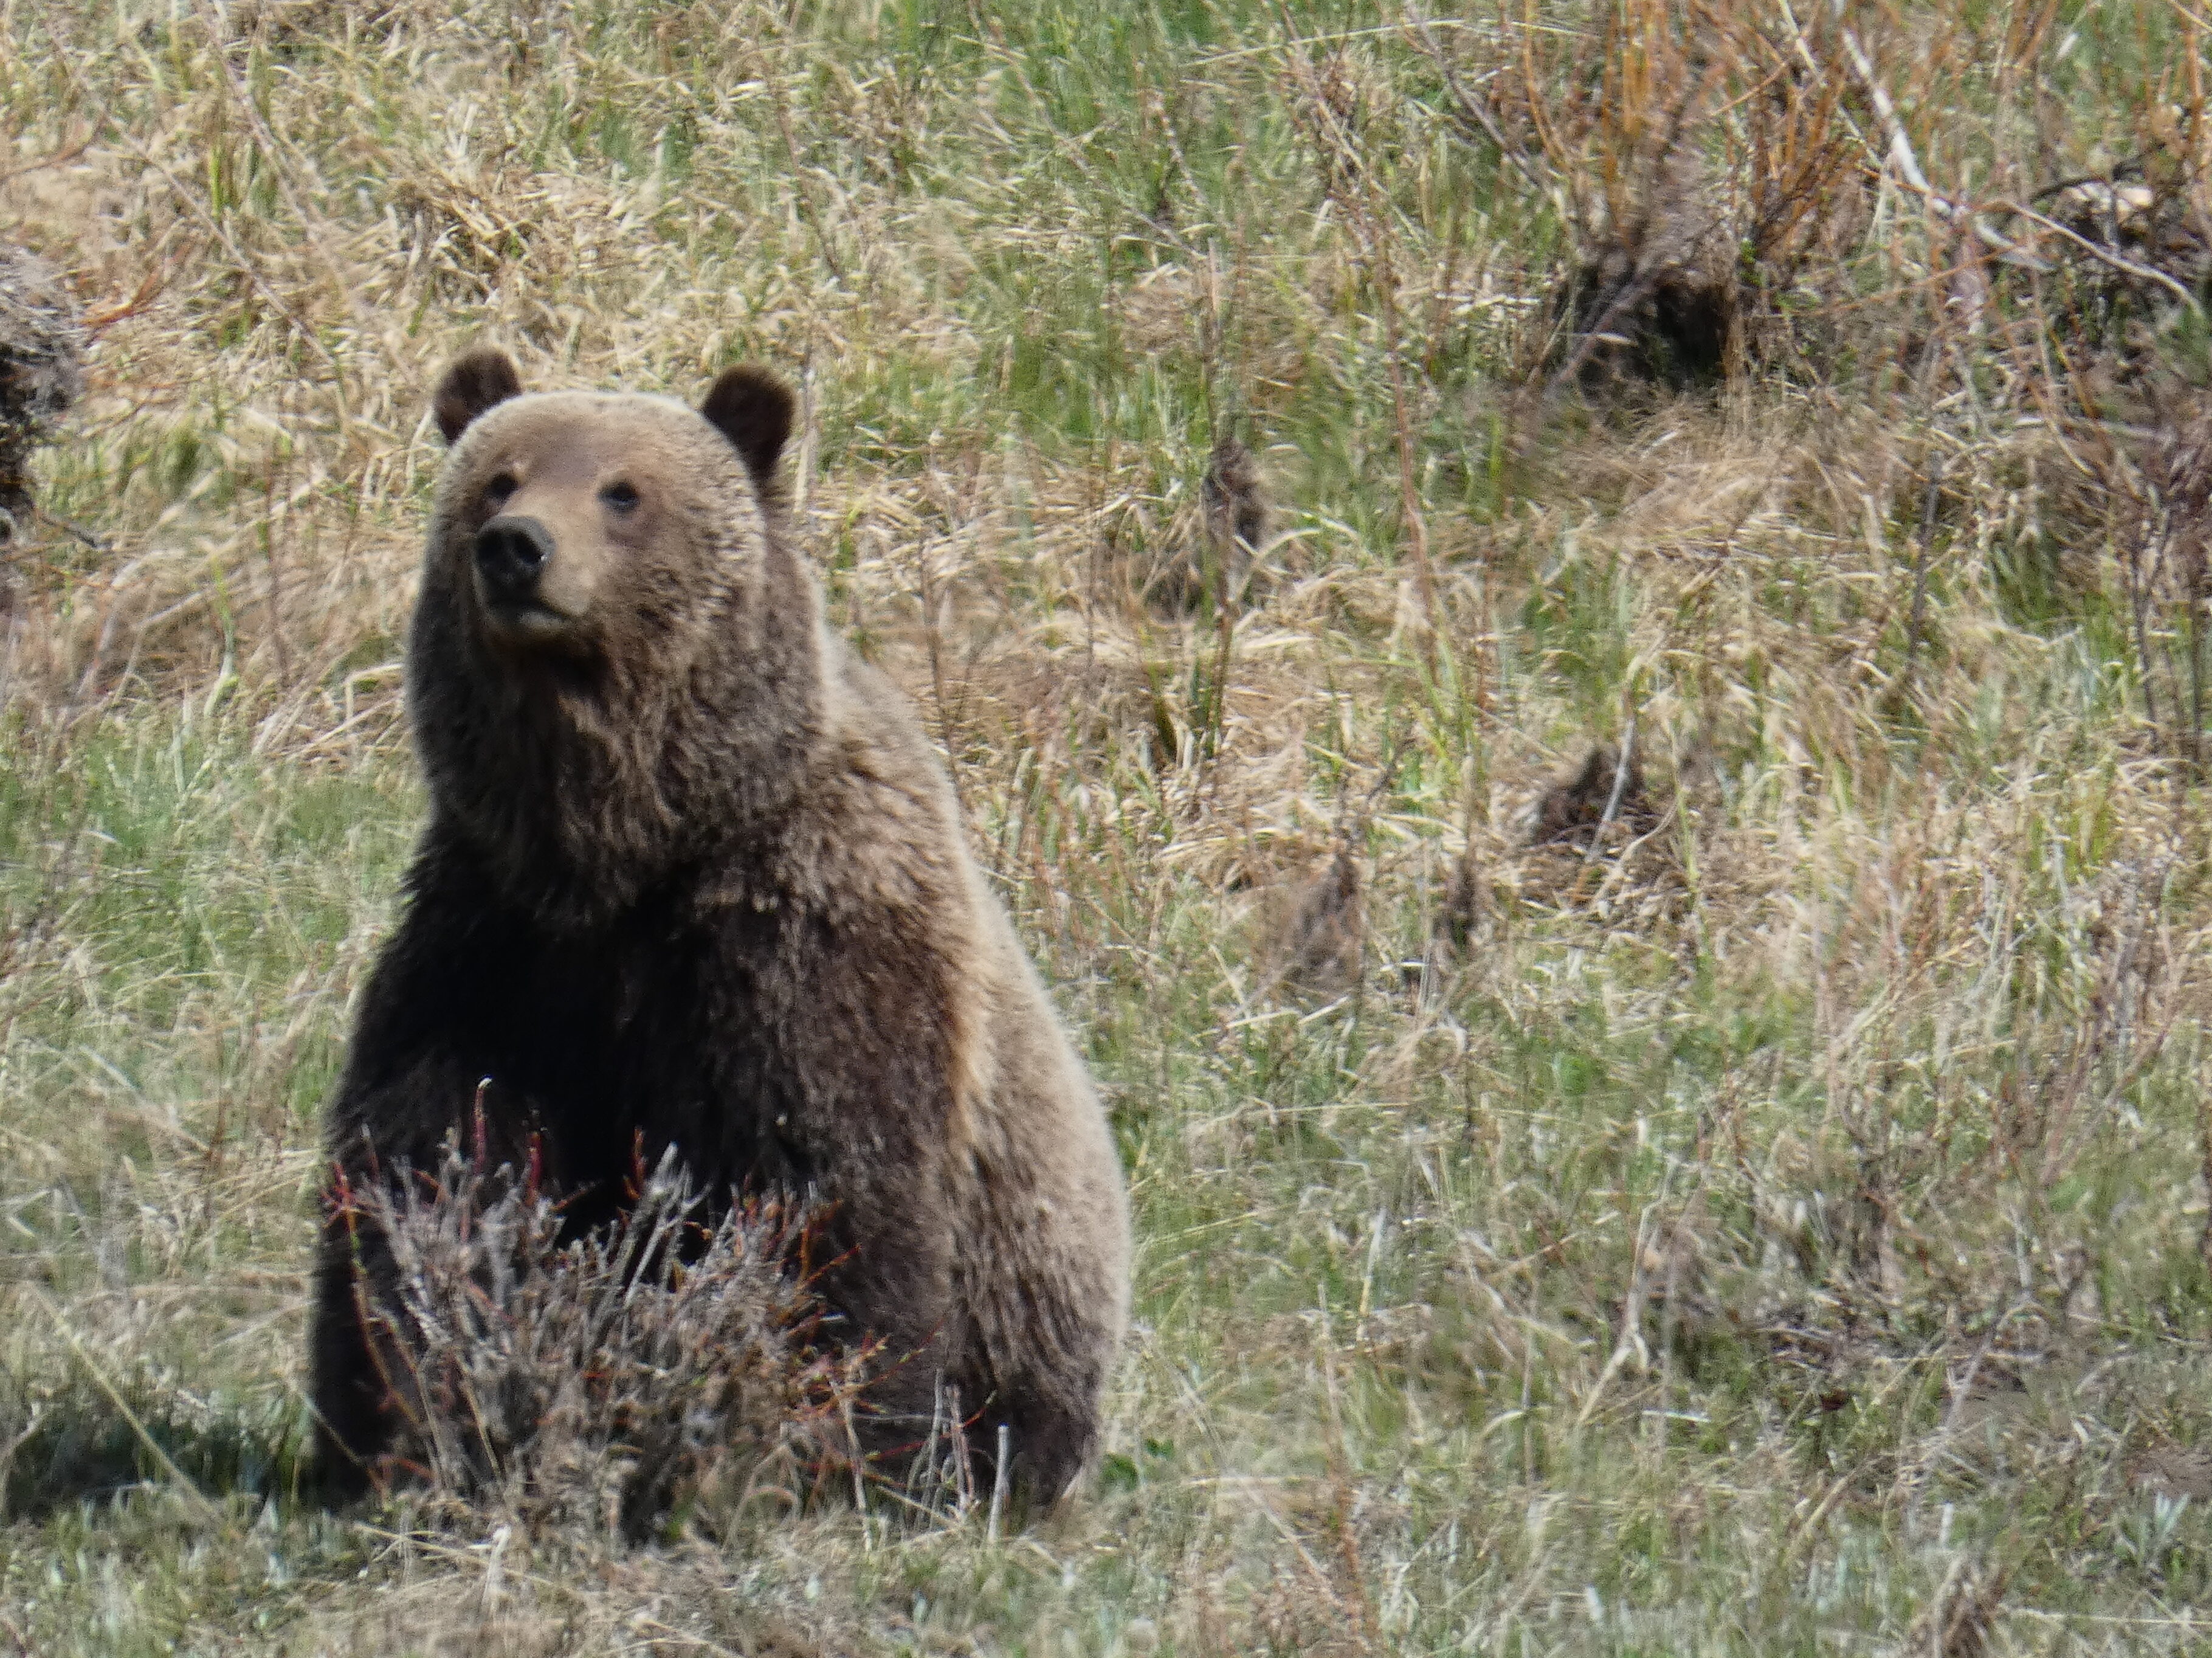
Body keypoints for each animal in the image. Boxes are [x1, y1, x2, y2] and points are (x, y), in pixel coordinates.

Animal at [312, 345, 1132, 1496]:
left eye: (622, 491)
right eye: (499, 477)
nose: (515, 548)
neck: (625, 851)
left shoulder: (803, 938)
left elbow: (825, 1194)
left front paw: (823, 1440)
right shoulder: (492, 937)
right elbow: (434, 1161)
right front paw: (402, 1405)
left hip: (1033, 1292)